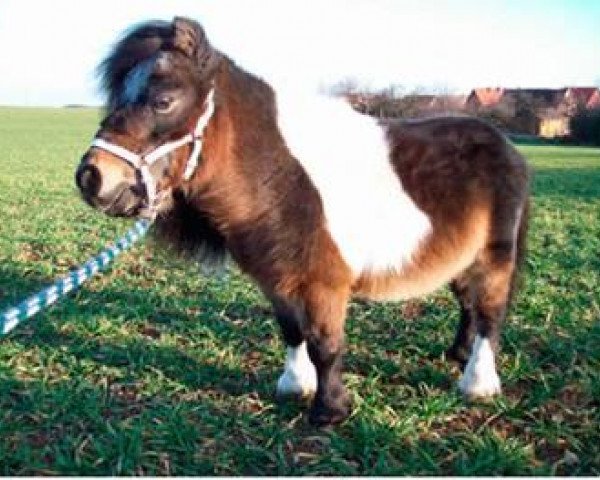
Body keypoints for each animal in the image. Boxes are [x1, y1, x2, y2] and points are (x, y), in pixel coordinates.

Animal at [76, 16, 528, 426]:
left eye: (163, 101)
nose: (91, 177)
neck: (280, 179)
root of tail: (506, 146)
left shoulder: (324, 284)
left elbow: (325, 345)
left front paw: (330, 410)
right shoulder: (276, 278)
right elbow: (293, 331)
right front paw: (295, 386)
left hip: (494, 257)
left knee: (489, 314)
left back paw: (477, 383)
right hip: (461, 257)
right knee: (468, 303)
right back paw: (458, 355)